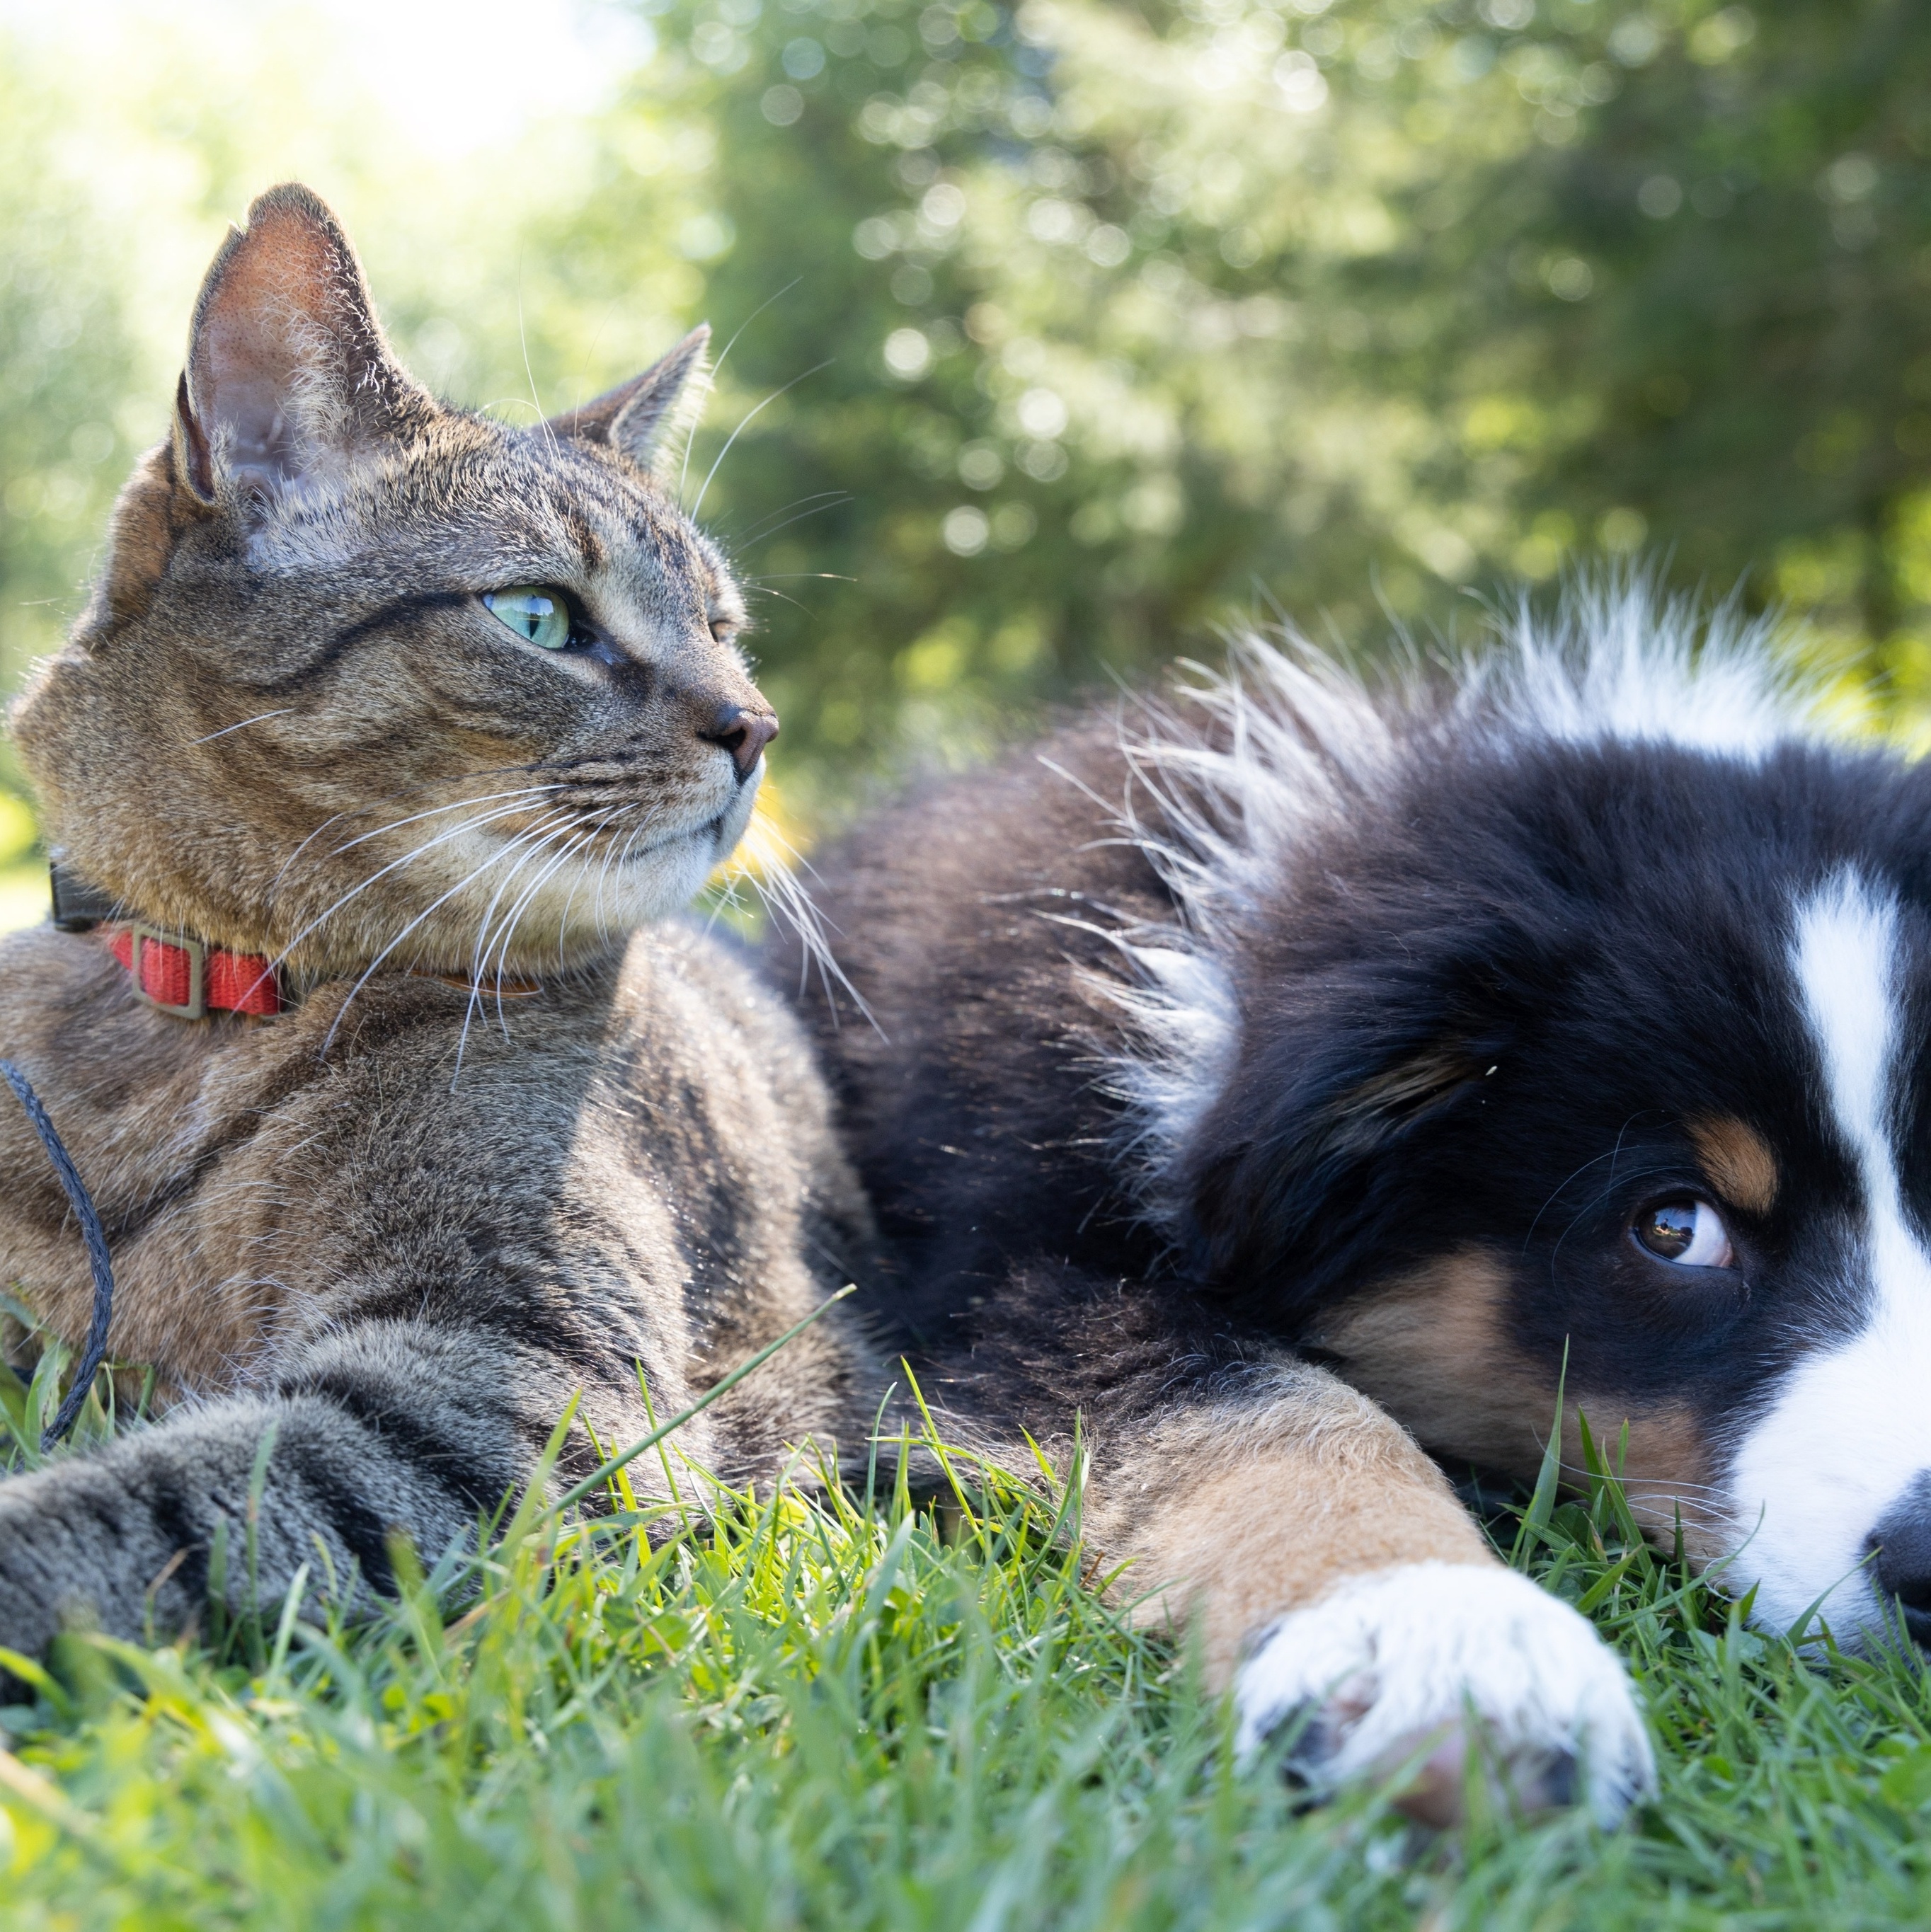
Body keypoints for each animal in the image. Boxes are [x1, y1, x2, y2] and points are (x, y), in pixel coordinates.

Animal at [0, 184, 881, 1661]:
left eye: (722, 626)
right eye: (539, 615)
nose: (756, 725)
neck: (199, 1010)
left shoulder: (504, 1385)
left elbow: (136, 1514)